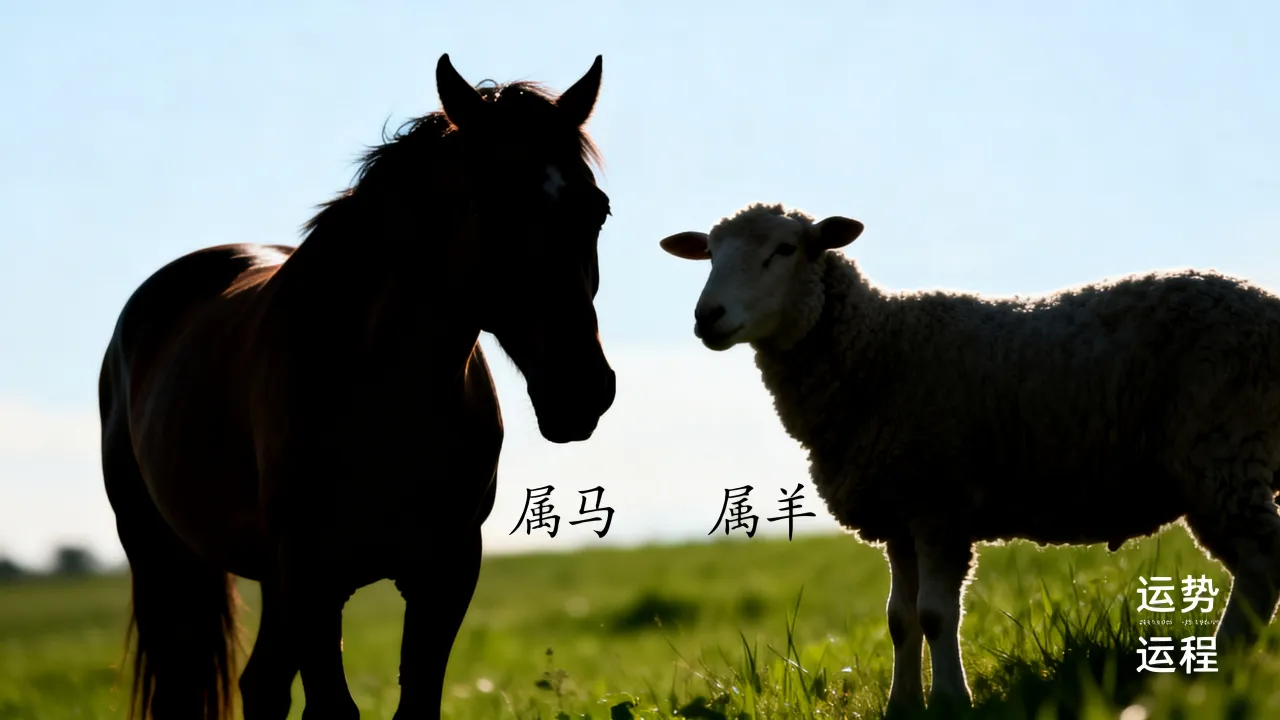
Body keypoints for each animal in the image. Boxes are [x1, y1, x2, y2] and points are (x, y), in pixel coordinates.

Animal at [97, 53, 616, 720]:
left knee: (261, 683)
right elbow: (332, 707)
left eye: (596, 209)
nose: (583, 389)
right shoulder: (311, 575)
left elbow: (415, 701)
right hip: (164, 556)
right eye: (489, 206)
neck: (381, 391)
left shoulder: (445, 570)